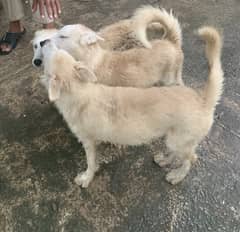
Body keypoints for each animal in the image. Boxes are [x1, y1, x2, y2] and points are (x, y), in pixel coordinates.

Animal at [40, 26, 223, 188]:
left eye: (60, 41)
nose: (43, 41)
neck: (79, 90)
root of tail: (203, 99)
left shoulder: (89, 142)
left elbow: (91, 163)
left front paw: (86, 178)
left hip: (179, 141)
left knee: (191, 159)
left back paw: (177, 175)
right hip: (174, 139)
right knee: (176, 152)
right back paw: (165, 160)